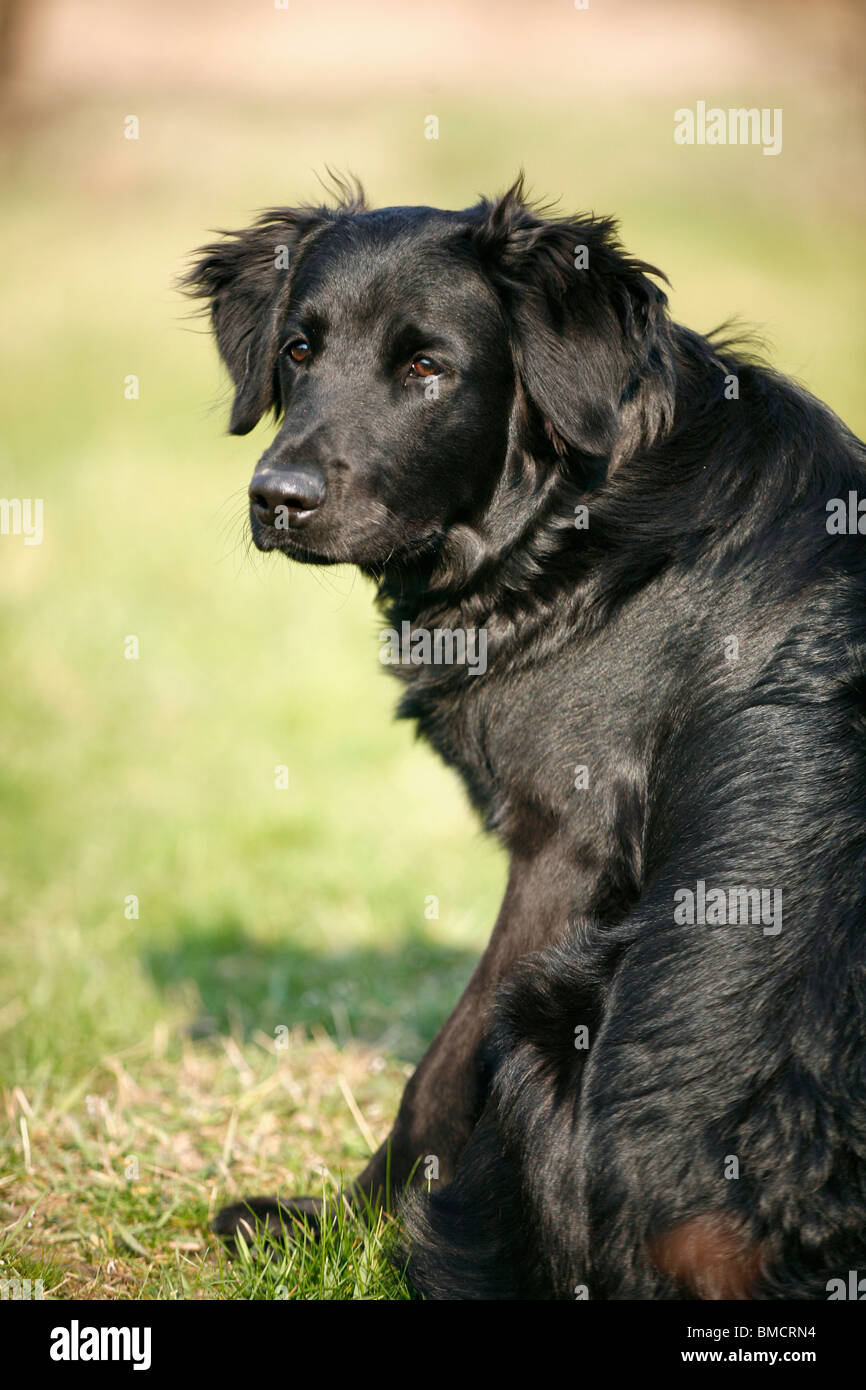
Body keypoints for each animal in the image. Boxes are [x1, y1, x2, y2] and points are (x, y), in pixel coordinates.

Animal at [186, 179, 866, 1295]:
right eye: (297, 349)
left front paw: (340, 1227)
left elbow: (439, 1068)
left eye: (426, 368)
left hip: (552, 1023)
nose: (275, 499)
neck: (569, 514)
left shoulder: (566, 849)